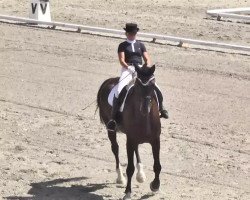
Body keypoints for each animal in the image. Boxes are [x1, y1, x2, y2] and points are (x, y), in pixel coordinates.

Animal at [96, 65, 161, 199]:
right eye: (138, 85)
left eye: (152, 84)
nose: (145, 108)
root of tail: (108, 81)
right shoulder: (130, 140)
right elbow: (130, 168)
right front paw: (128, 192)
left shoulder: (155, 140)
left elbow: (157, 165)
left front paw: (155, 186)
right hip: (111, 130)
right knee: (115, 148)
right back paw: (120, 178)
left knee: (136, 149)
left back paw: (140, 175)